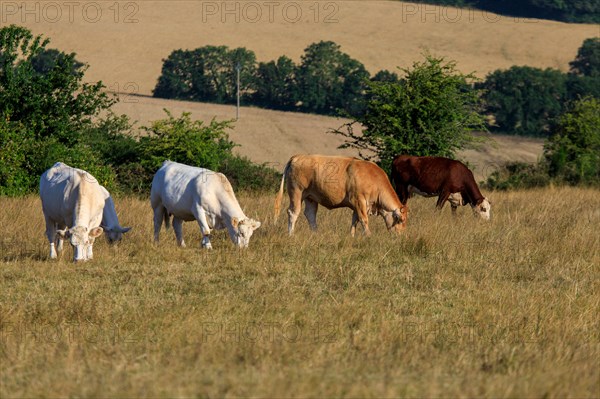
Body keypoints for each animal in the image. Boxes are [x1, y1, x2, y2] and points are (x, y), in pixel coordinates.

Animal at [274, 155, 408, 238]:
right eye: (400, 220)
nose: (401, 236)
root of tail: (298, 157)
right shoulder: (359, 201)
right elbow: (363, 219)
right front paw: (368, 235)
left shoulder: (357, 205)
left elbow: (355, 221)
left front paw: (352, 236)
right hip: (296, 192)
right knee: (293, 212)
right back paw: (291, 234)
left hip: (310, 197)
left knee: (310, 214)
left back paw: (316, 233)